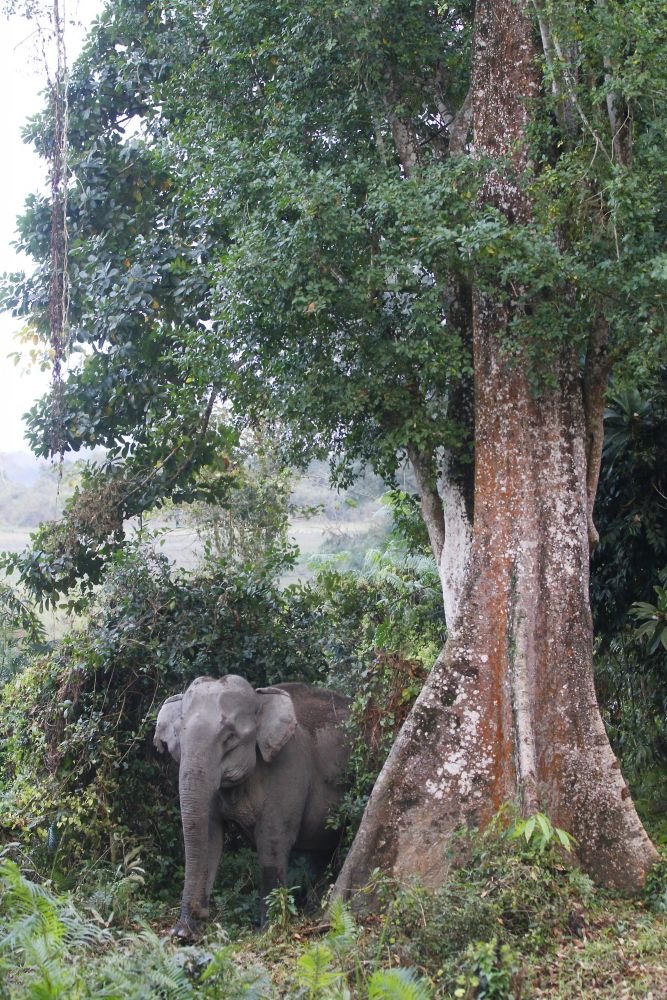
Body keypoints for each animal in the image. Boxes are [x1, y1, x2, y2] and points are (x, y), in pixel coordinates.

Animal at [151, 676, 350, 940]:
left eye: (230, 737)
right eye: (178, 736)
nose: (201, 913)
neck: (260, 697)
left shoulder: (288, 768)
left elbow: (272, 841)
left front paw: (268, 931)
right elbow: (211, 839)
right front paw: (187, 932)